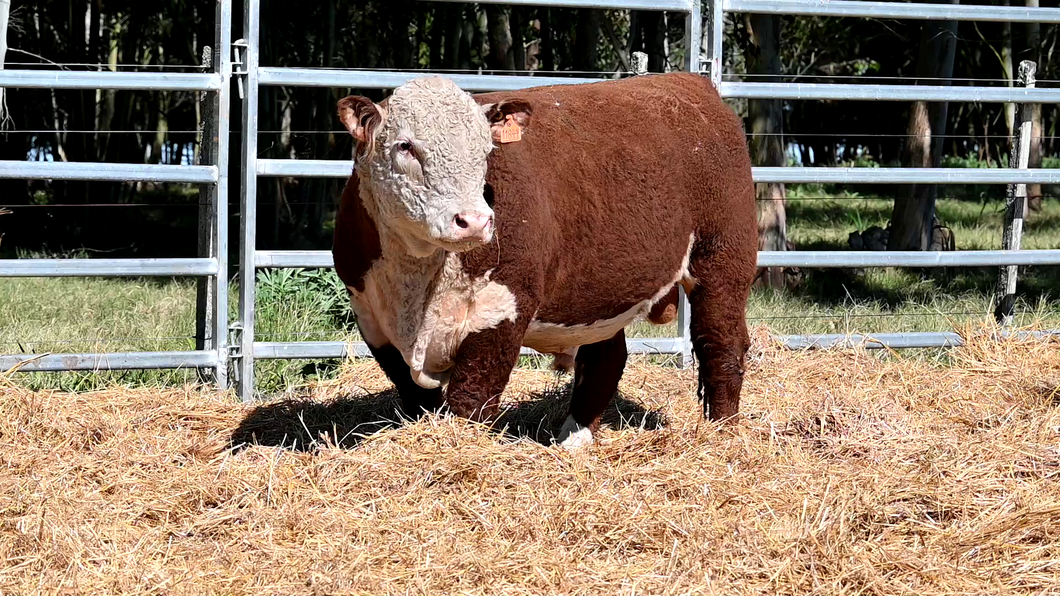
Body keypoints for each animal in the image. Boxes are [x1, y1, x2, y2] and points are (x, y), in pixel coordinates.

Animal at [330, 72, 754, 445]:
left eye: (486, 151)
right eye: (405, 146)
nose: (475, 221)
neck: (415, 280)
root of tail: (691, 83)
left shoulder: (501, 309)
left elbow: (471, 399)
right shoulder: (372, 319)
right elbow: (418, 399)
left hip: (723, 262)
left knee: (720, 344)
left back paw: (721, 434)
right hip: (598, 289)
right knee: (606, 359)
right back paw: (574, 440)